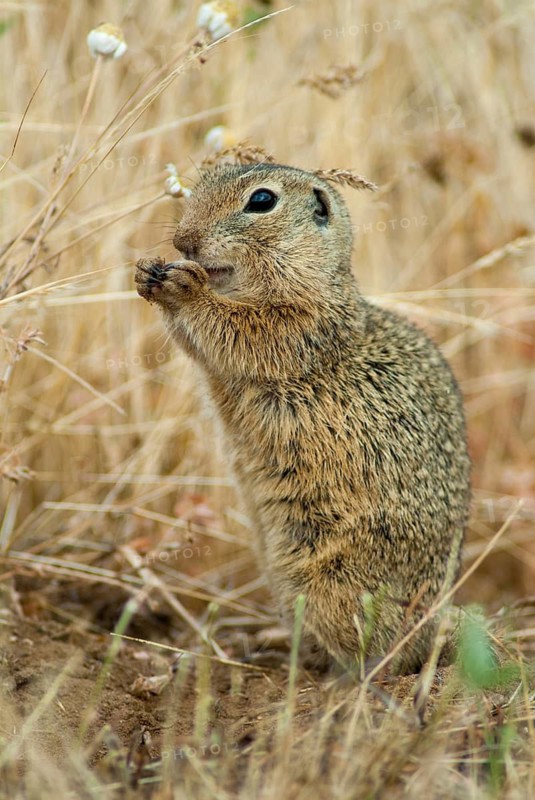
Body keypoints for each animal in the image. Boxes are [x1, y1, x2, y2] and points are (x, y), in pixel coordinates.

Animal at [135, 162, 471, 675]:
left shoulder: (298, 327)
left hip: (326, 579)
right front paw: (146, 275)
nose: (183, 240)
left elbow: (238, 330)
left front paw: (185, 288)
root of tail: (431, 630)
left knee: (382, 649)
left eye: (261, 201)